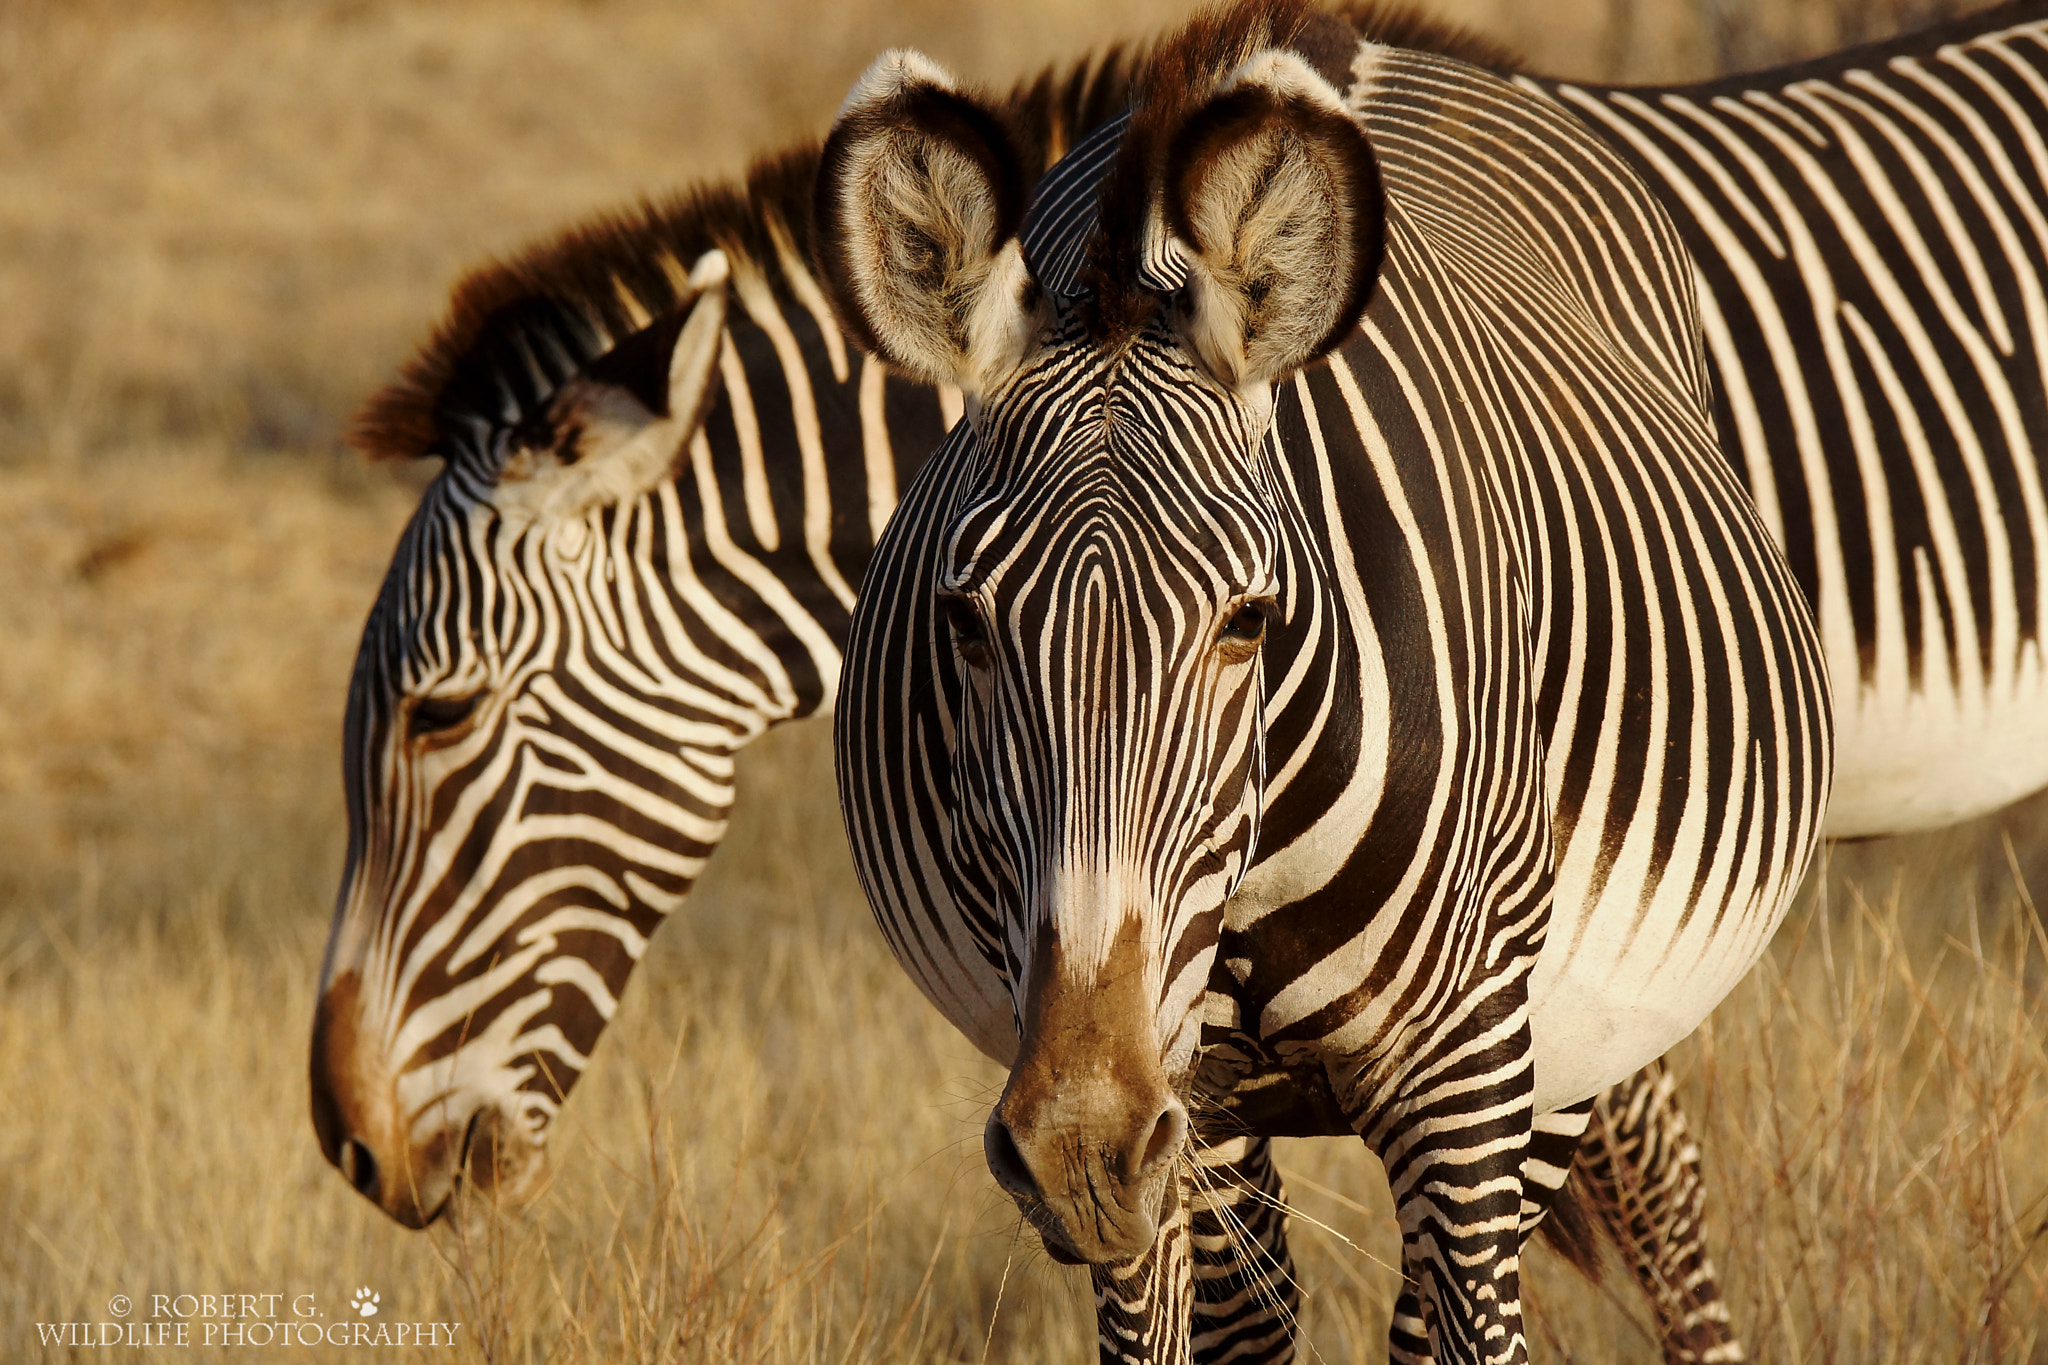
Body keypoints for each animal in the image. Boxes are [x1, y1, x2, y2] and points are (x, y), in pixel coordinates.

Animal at [823, 5, 1835, 1358]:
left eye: (1248, 620)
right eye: (965, 620)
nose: (1080, 1143)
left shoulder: (1463, 1071)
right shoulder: (1170, 1089)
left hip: (1568, 1037)